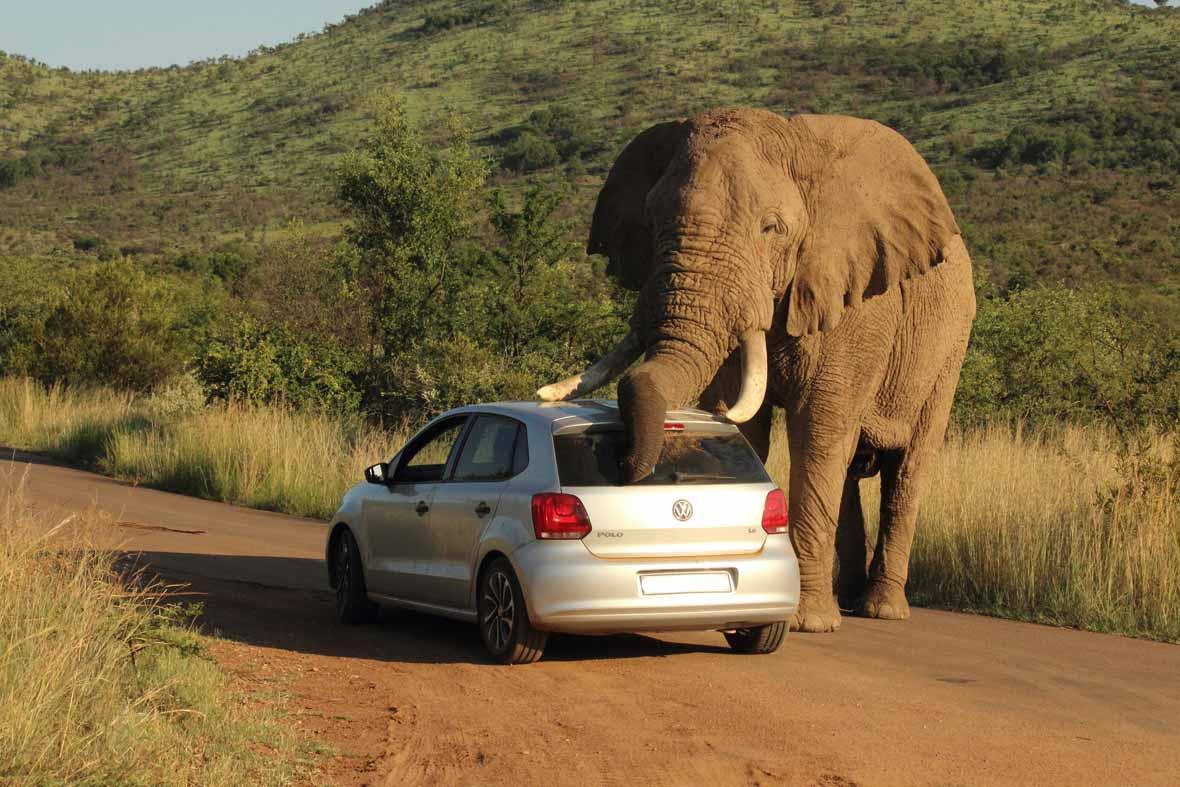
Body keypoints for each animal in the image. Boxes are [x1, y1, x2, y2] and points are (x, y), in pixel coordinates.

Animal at [537, 108, 976, 633]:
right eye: (651, 220)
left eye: (771, 228)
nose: (620, 465)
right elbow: (746, 423)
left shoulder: (859, 306)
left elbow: (818, 431)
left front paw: (807, 622)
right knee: (850, 469)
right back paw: (848, 599)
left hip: (948, 347)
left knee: (905, 468)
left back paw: (880, 609)